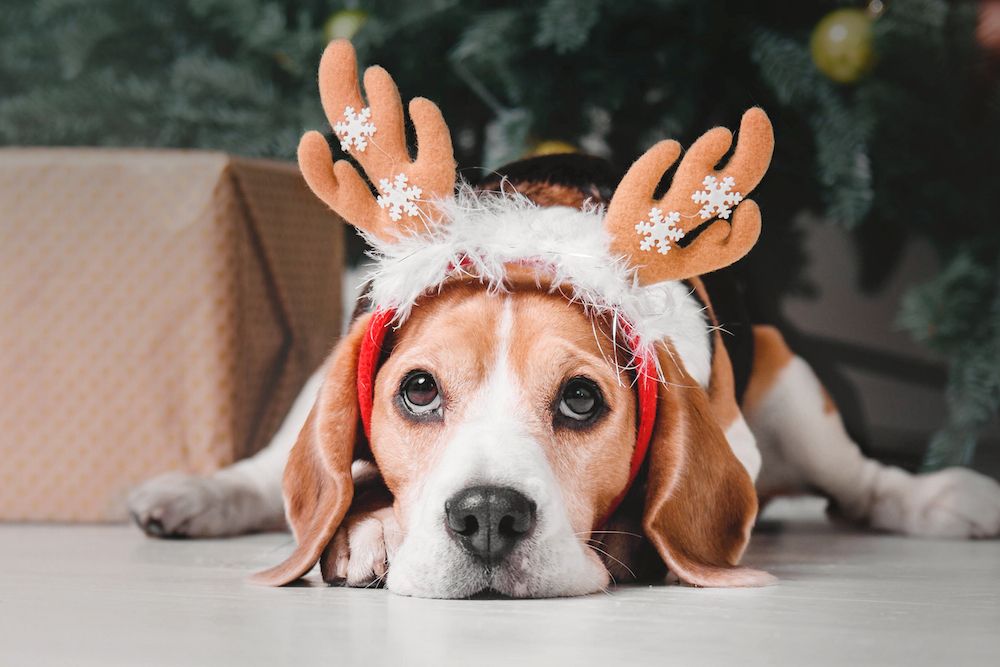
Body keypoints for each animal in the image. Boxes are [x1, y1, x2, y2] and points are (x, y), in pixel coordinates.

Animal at [129, 39, 996, 596]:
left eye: (582, 400)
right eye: (418, 389)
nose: (487, 515)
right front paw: (370, 526)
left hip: (792, 387)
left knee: (867, 484)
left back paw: (946, 499)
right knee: (264, 471)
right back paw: (194, 495)